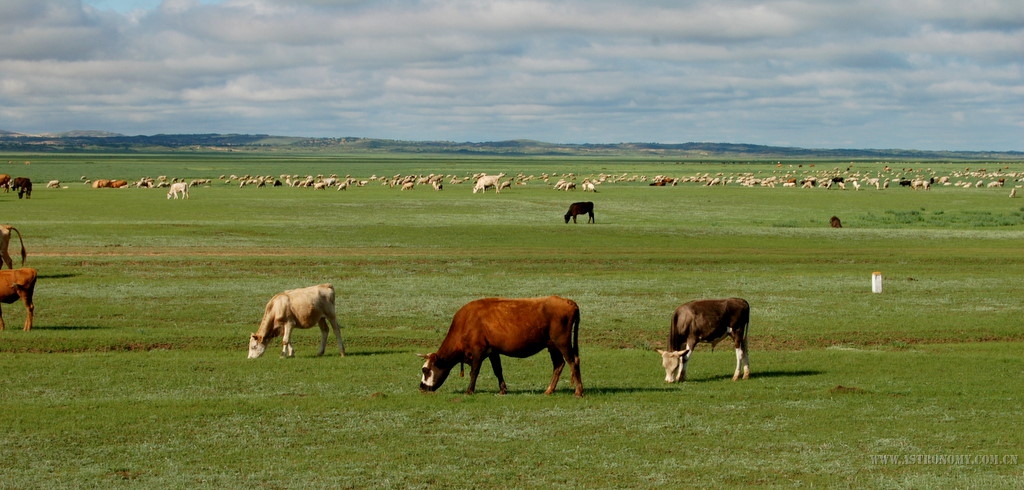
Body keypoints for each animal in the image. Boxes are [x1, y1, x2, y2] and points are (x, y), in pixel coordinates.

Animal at [417, 296, 585, 396]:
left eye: (426, 370)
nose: (422, 387)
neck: (466, 322)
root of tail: (569, 302)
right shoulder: (493, 351)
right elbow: (498, 370)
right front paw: (503, 389)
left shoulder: (478, 351)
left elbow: (474, 372)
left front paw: (469, 390)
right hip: (552, 346)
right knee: (559, 364)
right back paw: (549, 390)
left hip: (562, 342)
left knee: (573, 361)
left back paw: (578, 391)